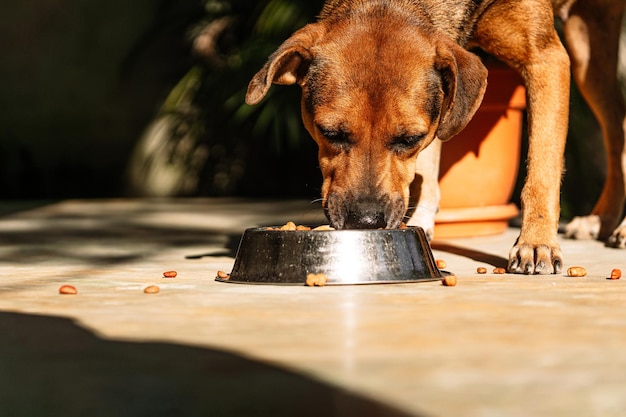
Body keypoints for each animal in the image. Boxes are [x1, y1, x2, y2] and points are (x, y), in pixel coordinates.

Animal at [245, 0, 624, 274]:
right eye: (329, 133)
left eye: (409, 138)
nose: (365, 222)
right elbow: (427, 166)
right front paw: (421, 223)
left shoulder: (545, 58)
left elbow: (541, 171)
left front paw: (536, 242)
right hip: (588, 50)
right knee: (616, 128)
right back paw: (602, 220)